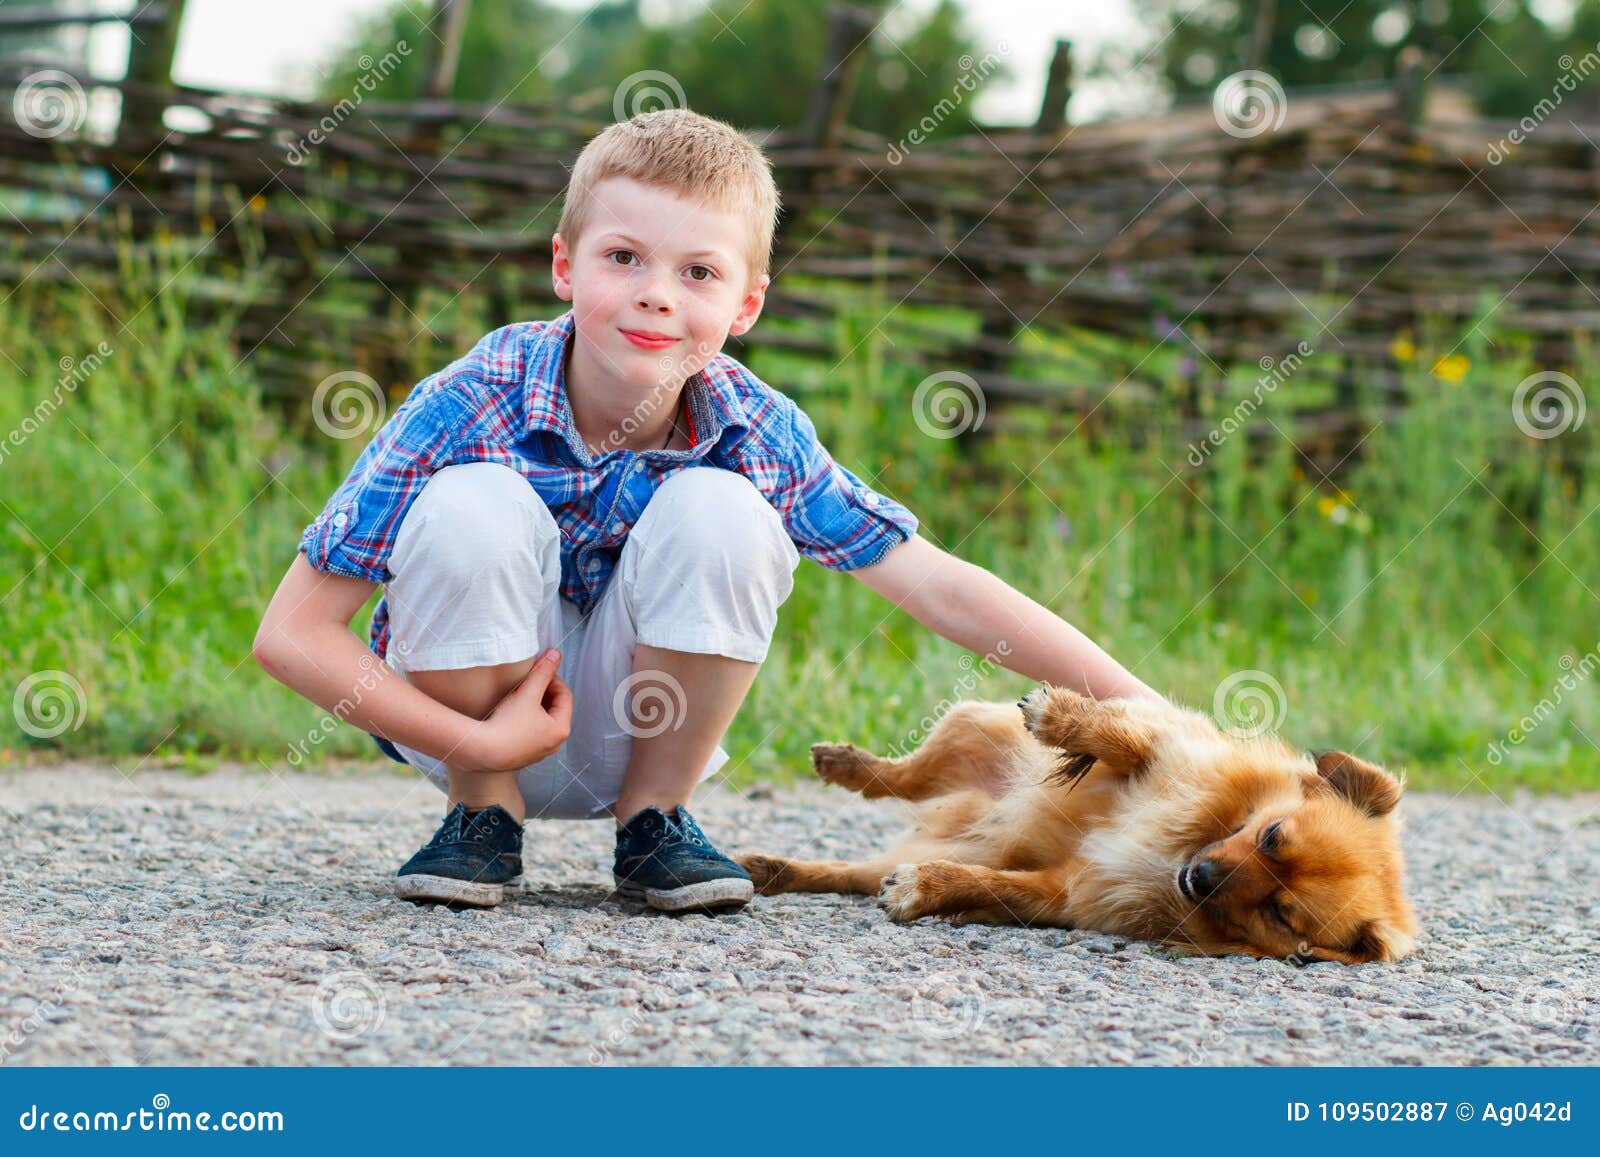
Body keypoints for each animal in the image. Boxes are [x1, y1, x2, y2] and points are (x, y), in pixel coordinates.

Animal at [736, 684, 1414, 966]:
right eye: (1272, 836)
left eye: (1281, 913)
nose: (1200, 879)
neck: (1185, 846)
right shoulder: (1164, 755)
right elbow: (1117, 736)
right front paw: (1061, 717)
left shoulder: (1067, 891)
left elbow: (991, 886)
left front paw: (927, 888)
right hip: (966, 725)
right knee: (900, 777)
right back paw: (844, 764)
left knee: (850, 871)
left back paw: (768, 870)